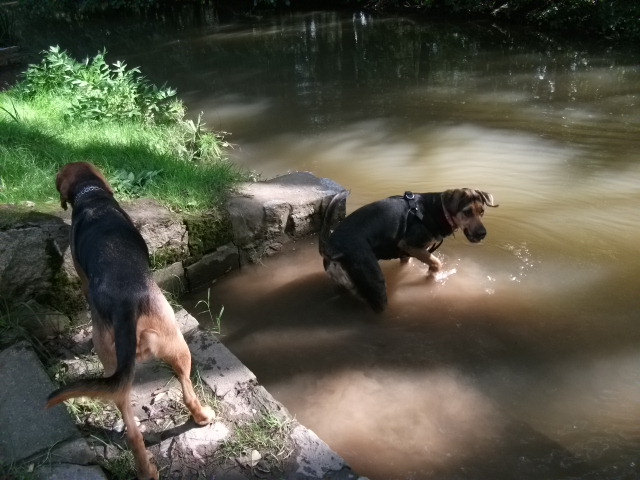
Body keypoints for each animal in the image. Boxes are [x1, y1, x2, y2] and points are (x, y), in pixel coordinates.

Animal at [49, 162, 215, 480]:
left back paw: (146, 468)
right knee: (186, 391)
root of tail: (125, 302)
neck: (92, 195)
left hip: (119, 372)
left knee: (133, 431)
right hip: (175, 346)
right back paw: (200, 418)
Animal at [320, 188, 500, 312]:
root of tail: (329, 247)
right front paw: (430, 277)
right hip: (374, 282)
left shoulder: (409, 253)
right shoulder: (409, 245)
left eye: (482, 212)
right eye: (467, 212)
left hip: (342, 283)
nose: (483, 234)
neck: (439, 210)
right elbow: (437, 263)